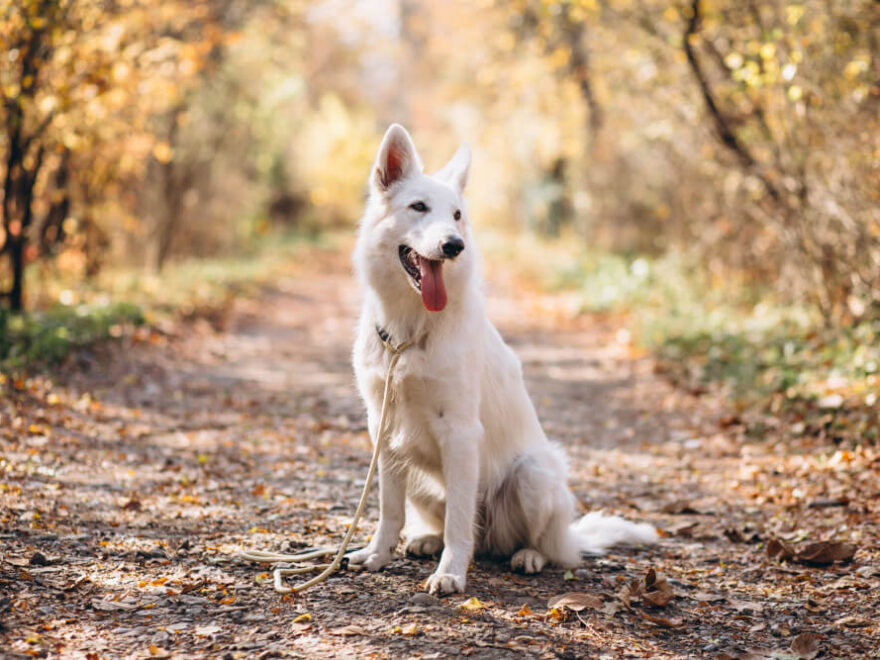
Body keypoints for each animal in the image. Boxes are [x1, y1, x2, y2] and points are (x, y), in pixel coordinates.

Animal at [348, 125, 656, 600]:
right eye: (418, 207)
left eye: (457, 215)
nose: (453, 246)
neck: (410, 333)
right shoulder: (384, 428)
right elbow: (389, 511)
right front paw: (379, 554)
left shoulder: (459, 432)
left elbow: (459, 525)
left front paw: (451, 573)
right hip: (423, 479)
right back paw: (426, 539)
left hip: (533, 475)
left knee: (542, 546)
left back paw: (529, 555)